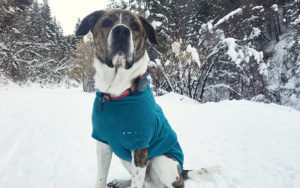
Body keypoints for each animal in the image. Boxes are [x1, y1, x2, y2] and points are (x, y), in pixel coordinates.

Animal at [75, 9, 218, 188]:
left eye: (135, 26)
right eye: (107, 22)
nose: (121, 31)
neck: (117, 92)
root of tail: (181, 170)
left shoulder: (140, 146)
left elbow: (137, 182)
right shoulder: (103, 144)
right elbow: (101, 178)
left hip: (162, 160)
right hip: (125, 157)